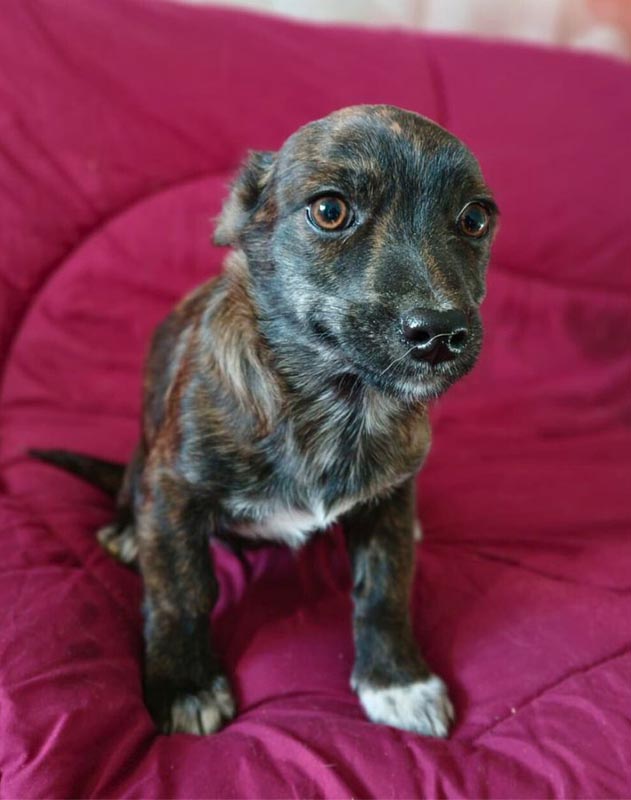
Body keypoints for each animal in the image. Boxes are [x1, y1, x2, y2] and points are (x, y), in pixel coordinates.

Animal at [32, 105, 498, 737]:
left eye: (474, 219)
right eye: (329, 211)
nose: (441, 332)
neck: (337, 400)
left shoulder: (390, 500)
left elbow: (386, 589)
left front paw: (396, 680)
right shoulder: (174, 488)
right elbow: (181, 590)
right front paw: (185, 684)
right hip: (145, 460)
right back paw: (127, 531)